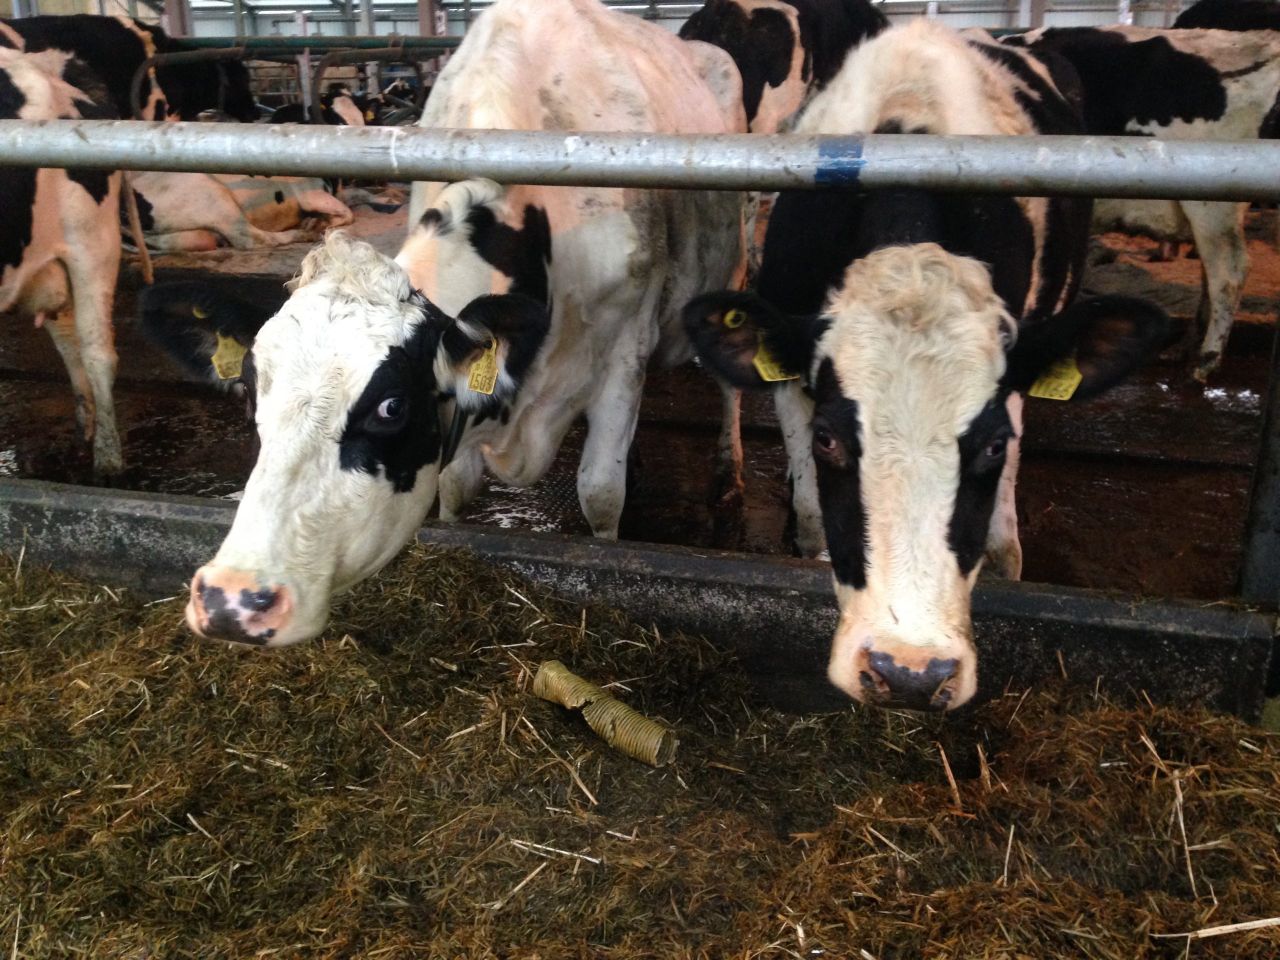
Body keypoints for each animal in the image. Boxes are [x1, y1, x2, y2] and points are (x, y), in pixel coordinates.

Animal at [147, 0, 747, 647]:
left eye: (391, 407)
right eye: (254, 388)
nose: (231, 599)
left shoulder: (624, 353)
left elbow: (601, 494)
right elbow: (456, 489)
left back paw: (729, 472)